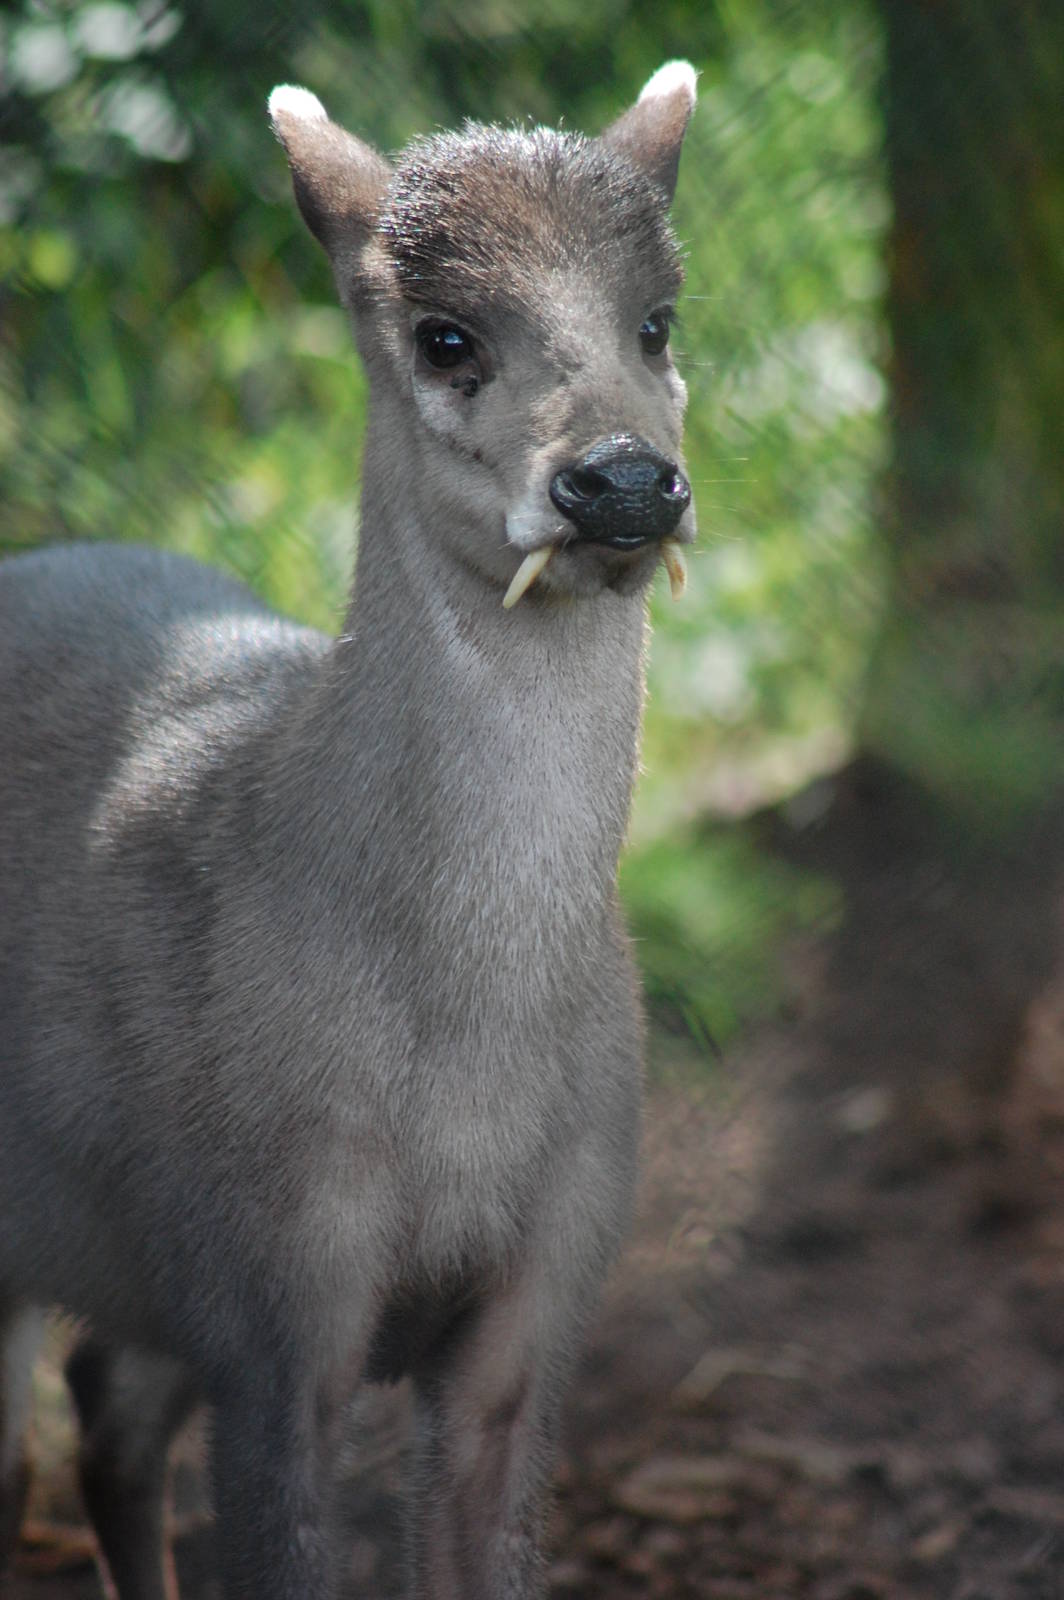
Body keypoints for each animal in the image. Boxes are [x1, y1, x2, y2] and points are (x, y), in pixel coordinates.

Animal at [0, 59, 697, 1600]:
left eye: (657, 320)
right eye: (445, 336)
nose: (623, 481)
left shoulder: (544, 1287)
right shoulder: (267, 1285)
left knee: (101, 1415)